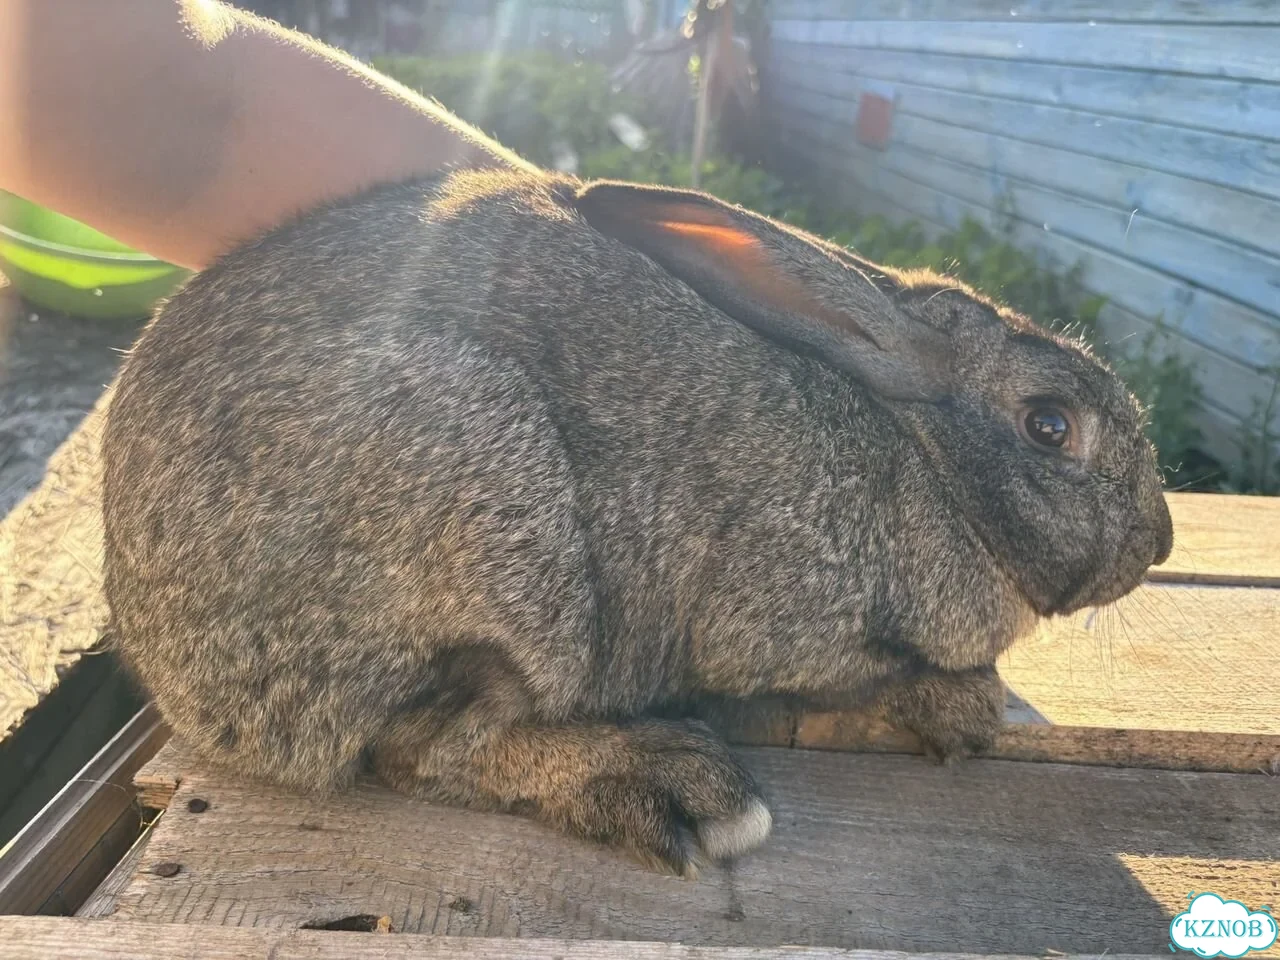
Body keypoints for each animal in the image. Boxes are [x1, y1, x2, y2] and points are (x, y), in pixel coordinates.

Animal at [101, 166, 1174, 877]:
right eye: (1050, 425)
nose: (1158, 541)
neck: (923, 463)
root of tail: (159, 649)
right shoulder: (773, 614)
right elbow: (857, 675)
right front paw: (956, 704)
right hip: (491, 514)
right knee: (425, 746)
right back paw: (667, 785)